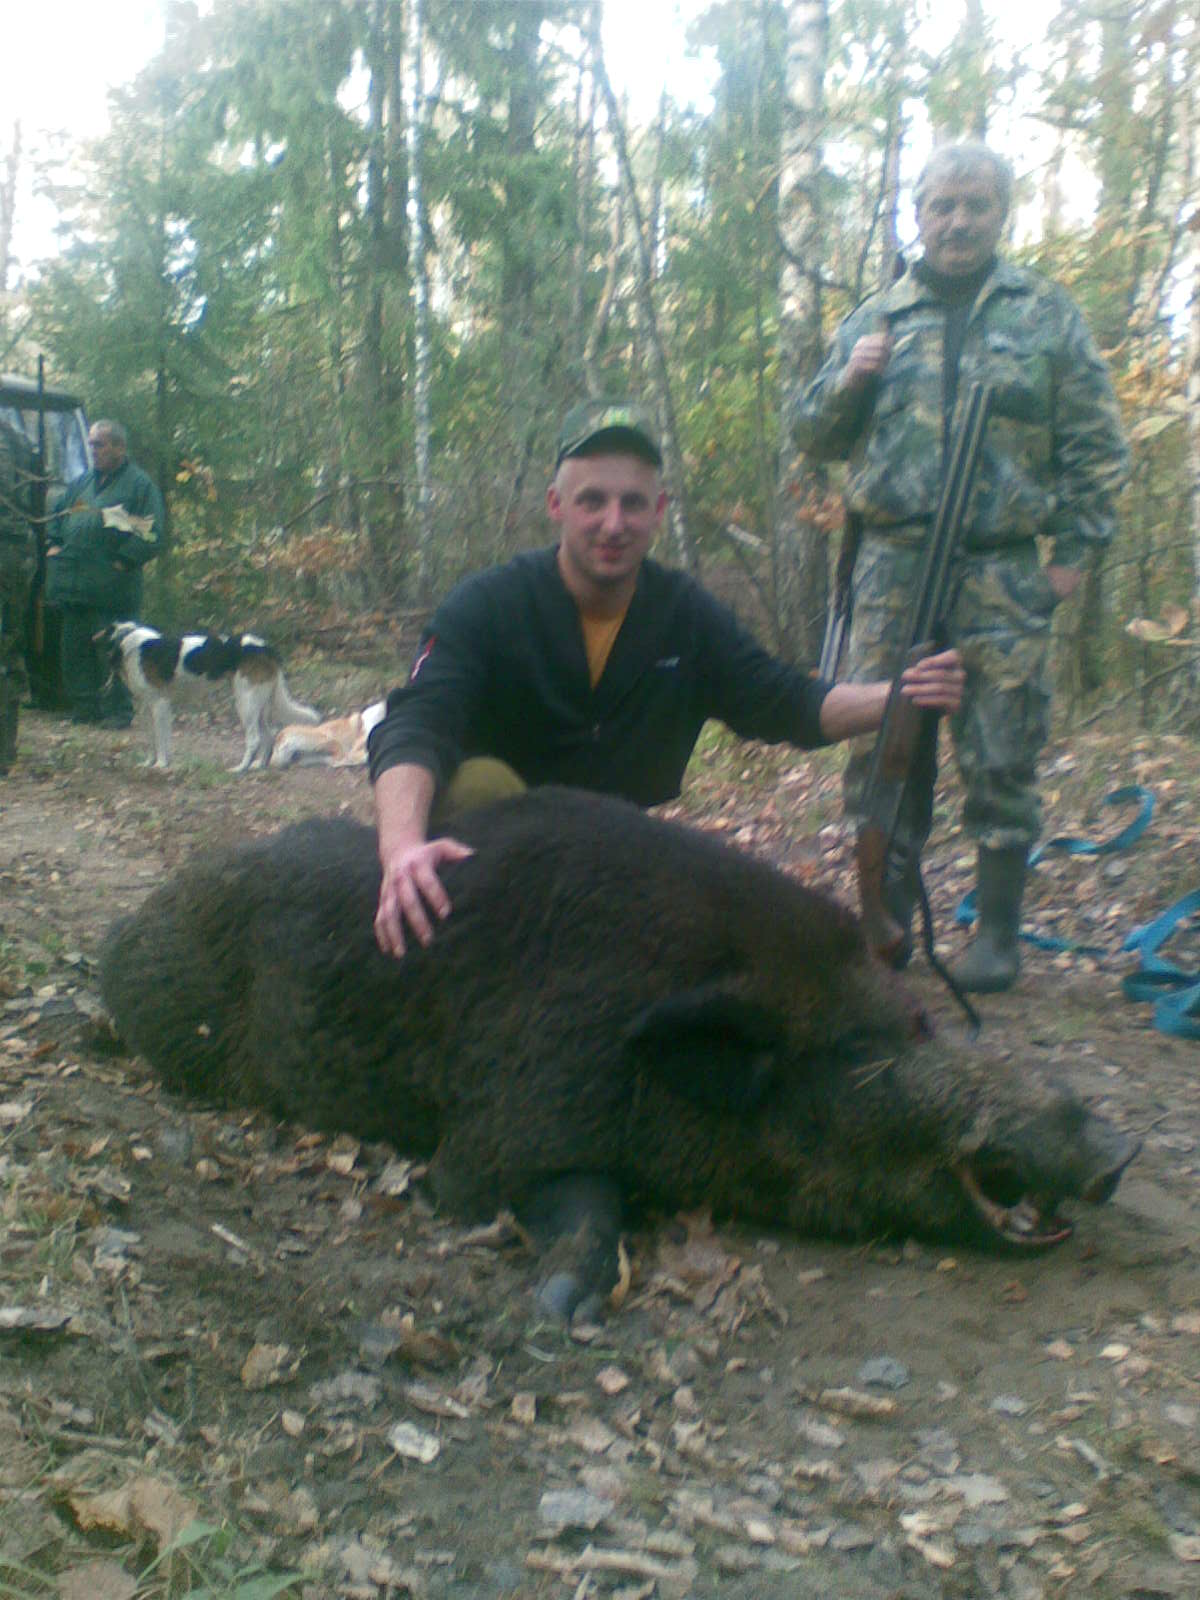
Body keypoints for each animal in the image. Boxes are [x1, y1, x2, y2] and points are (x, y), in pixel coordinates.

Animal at [97, 621, 320, 773]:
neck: (126, 641)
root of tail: (265, 647)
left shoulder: (159, 705)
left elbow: (160, 740)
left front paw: (160, 764)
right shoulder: (151, 708)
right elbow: (156, 739)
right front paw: (152, 763)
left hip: (245, 702)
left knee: (254, 738)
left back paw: (241, 768)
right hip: (259, 703)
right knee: (269, 734)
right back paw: (258, 766)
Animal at [99, 787, 1137, 1320]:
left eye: (920, 1022)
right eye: (852, 1049)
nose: (1113, 1148)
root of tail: (137, 917)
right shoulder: (495, 1139)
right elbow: (564, 1202)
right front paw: (560, 1308)